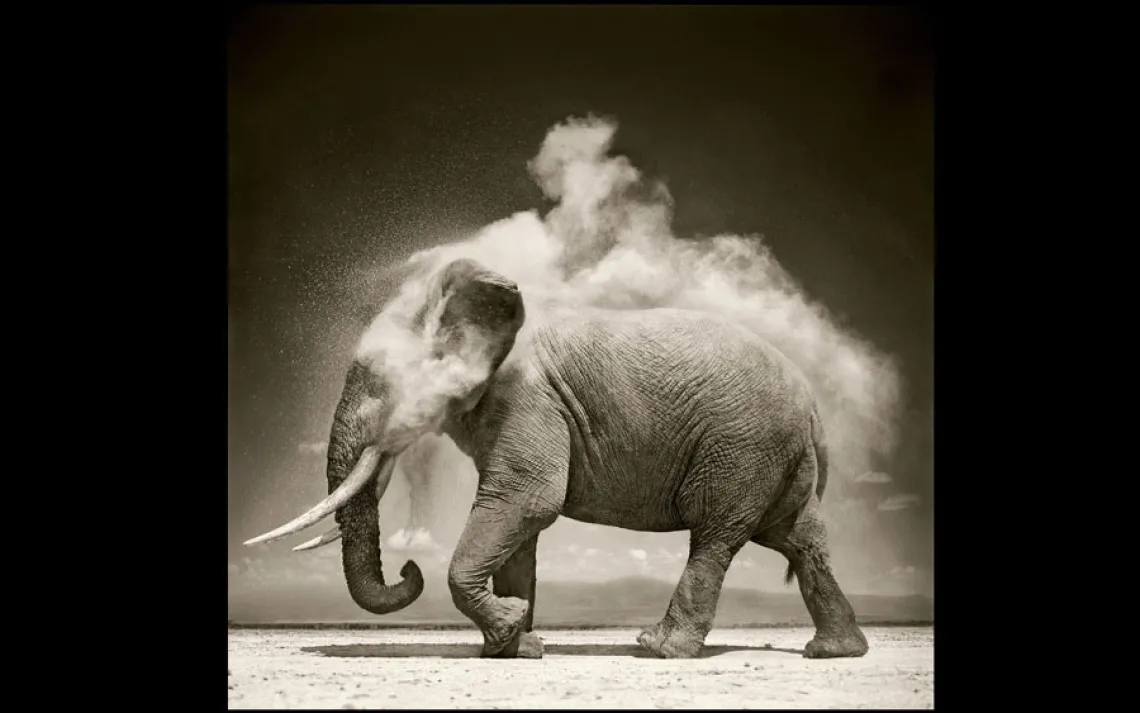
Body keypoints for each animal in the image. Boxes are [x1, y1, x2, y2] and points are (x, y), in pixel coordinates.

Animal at [245, 256, 869, 660]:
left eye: (379, 380)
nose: (407, 568)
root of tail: (814, 407)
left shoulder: (528, 399)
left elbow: (527, 500)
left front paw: (508, 631)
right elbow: (520, 528)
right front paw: (516, 647)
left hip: (742, 446)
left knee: (716, 538)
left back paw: (659, 649)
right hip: (775, 456)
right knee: (799, 540)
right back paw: (834, 652)